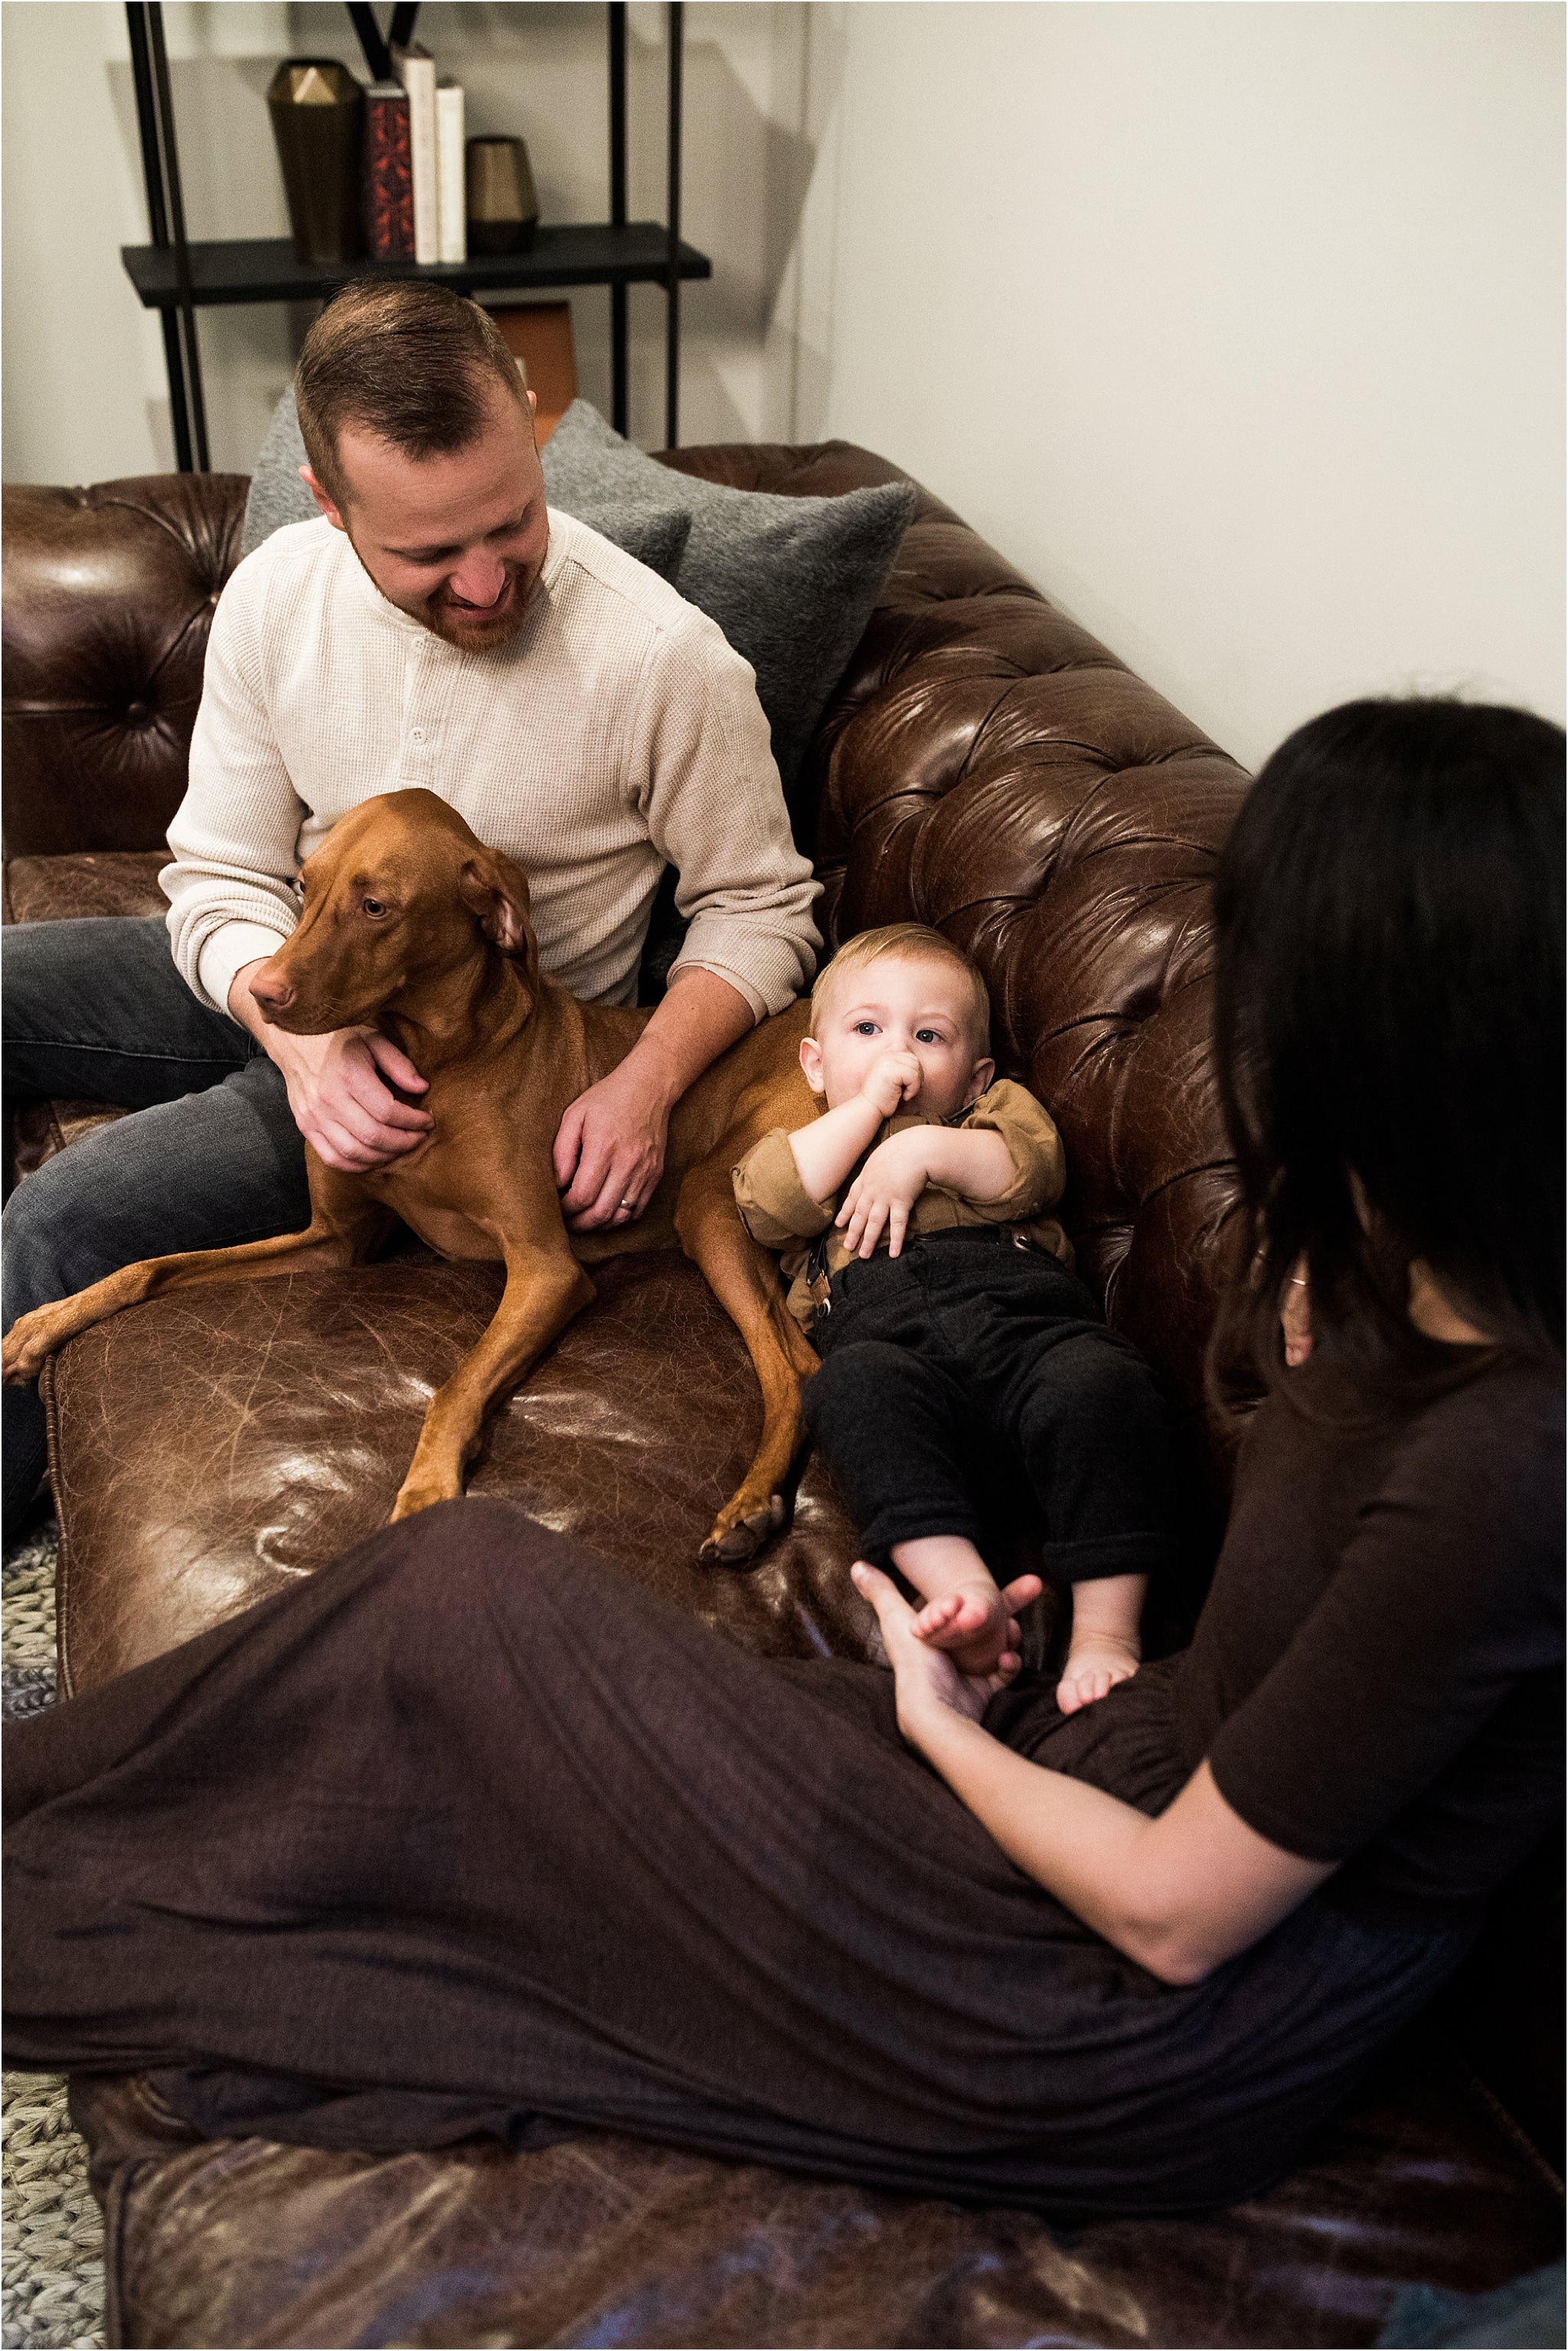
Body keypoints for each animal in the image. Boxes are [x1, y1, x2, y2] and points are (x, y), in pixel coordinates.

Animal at [6, 790, 822, 1561]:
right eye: (303, 885)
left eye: (376, 908)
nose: (262, 994)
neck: (434, 1062)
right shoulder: (333, 1242)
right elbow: (152, 1267)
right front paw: (46, 1322)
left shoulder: (546, 1270)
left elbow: (453, 1388)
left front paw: (425, 1492)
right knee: (804, 1356)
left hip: (707, 1198)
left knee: (789, 1370)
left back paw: (749, 1507)